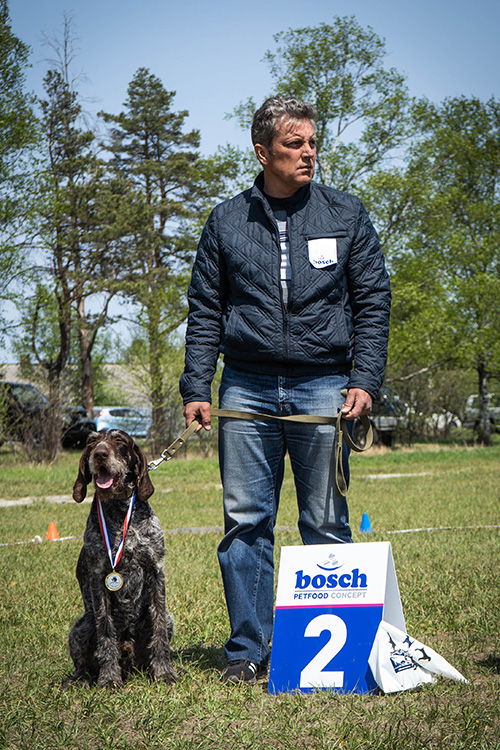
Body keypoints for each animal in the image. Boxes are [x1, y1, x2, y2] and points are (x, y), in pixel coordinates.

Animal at [65, 432, 177, 692]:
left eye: (119, 441)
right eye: (91, 442)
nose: (99, 454)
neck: (119, 507)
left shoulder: (156, 572)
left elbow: (158, 631)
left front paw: (164, 673)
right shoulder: (99, 578)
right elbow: (106, 633)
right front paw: (109, 678)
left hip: (168, 620)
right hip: (82, 626)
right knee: (85, 662)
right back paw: (80, 678)